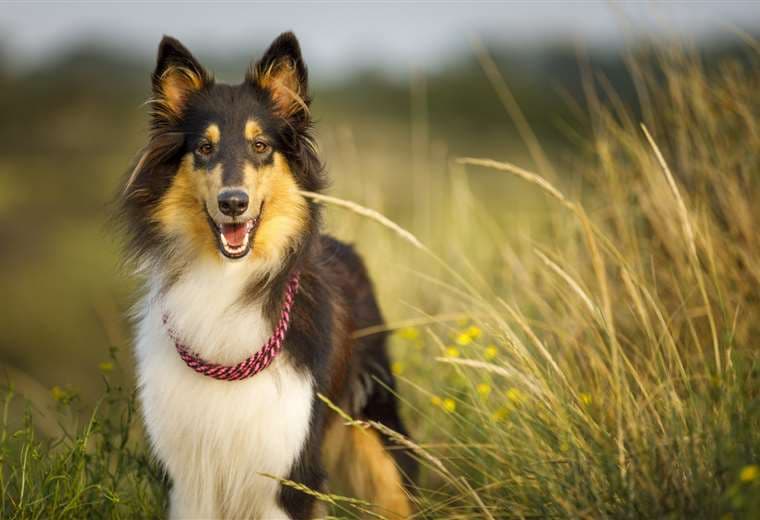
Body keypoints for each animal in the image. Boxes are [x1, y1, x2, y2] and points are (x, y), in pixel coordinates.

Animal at [120, 30, 416, 516]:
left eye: (260, 146)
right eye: (204, 148)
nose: (233, 203)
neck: (226, 282)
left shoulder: (285, 472)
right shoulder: (190, 477)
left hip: (377, 435)